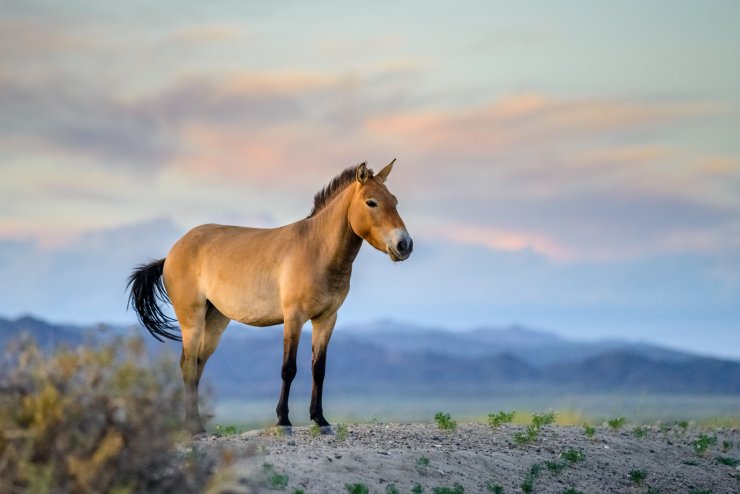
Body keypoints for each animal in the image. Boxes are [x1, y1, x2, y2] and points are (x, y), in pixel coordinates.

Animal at [126, 161, 410, 432]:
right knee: (187, 365)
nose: (404, 245)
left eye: (395, 201)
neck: (317, 250)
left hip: (215, 320)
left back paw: (196, 425)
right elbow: (289, 368)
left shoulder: (327, 319)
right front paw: (283, 420)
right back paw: (194, 429)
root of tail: (171, 253)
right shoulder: (293, 317)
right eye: (371, 202)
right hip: (191, 319)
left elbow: (319, 369)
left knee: (197, 365)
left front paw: (320, 420)